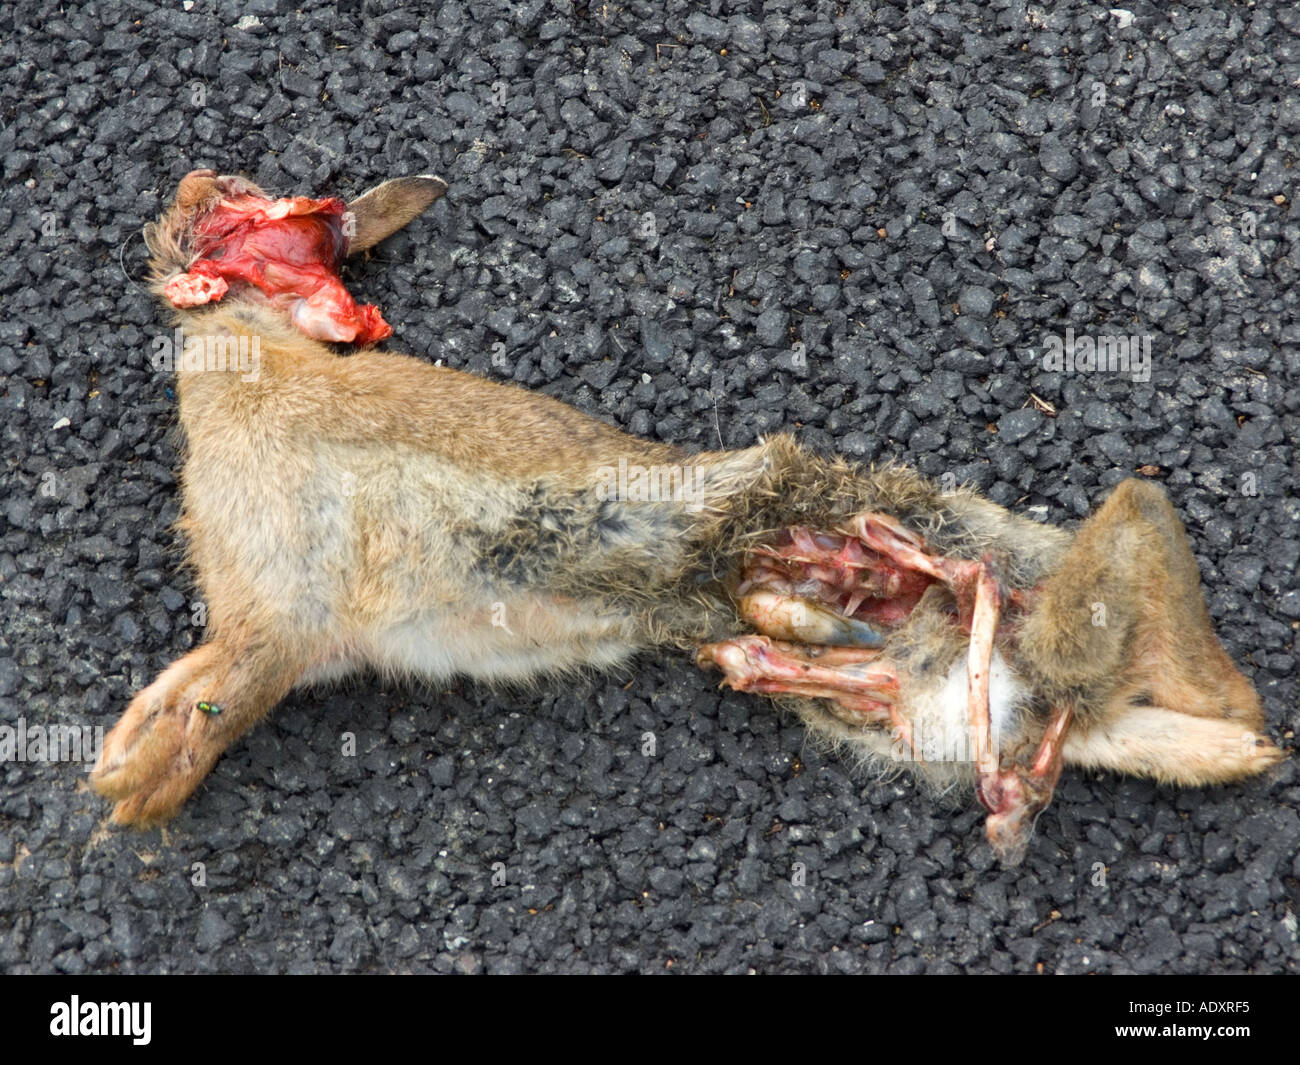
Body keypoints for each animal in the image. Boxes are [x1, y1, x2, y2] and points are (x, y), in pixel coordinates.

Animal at [90, 169, 1285, 865]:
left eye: (233, 200)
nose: (195, 174)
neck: (246, 354)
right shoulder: (282, 626)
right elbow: (204, 687)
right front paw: (123, 769)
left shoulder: (280, 607)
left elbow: (219, 692)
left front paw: (126, 791)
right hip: (943, 704)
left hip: (1067, 591)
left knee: (1162, 589)